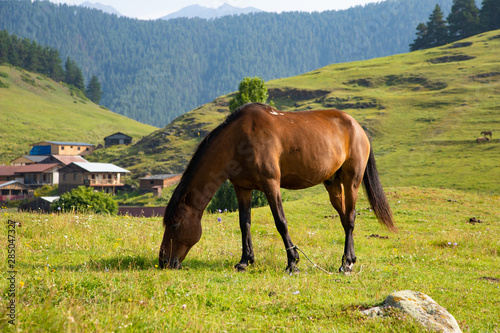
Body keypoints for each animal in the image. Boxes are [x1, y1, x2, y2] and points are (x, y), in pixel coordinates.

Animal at [158, 103, 396, 272]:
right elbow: (244, 223)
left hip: (351, 181)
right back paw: (349, 259)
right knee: (345, 218)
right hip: (333, 184)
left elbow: (280, 222)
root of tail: (358, 128)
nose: (163, 261)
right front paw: (245, 261)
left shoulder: (271, 184)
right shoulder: (242, 188)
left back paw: (346, 263)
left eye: (176, 225)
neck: (239, 140)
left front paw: (293, 262)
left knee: (351, 217)